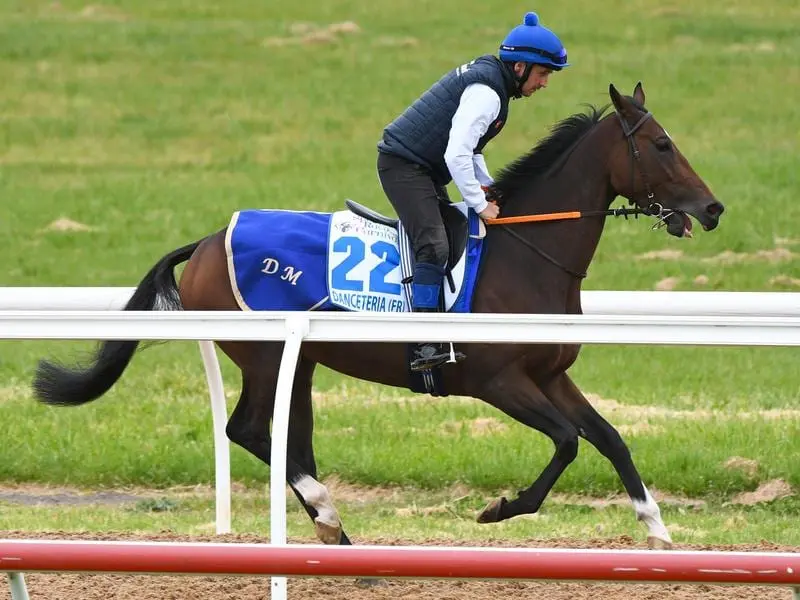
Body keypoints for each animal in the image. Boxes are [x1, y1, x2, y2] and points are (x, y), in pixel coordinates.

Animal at [31, 83, 724, 548]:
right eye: (662, 145)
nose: (713, 208)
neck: (526, 254)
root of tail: (203, 243)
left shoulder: (551, 375)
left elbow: (608, 436)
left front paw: (656, 527)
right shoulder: (498, 381)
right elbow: (566, 441)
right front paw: (499, 509)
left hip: (300, 362)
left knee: (287, 436)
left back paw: (334, 534)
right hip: (266, 355)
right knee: (250, 430)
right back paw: (329, 515)